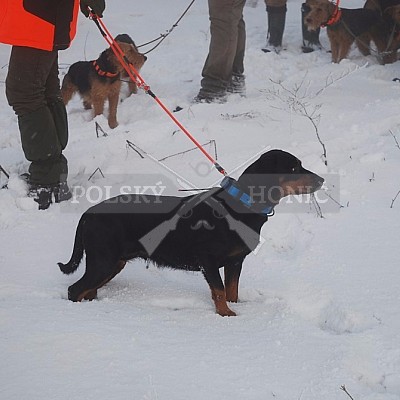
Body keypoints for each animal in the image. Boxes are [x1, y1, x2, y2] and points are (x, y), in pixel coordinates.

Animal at [57, 150, 324, 316]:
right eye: (294, 167)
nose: (322, 180)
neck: (242, 203)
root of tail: (89, 213)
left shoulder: (235, 262)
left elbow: (232, 290)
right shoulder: (208, 260)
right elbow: (219, 291)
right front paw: (226, 315)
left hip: (113, 262)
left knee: (88, 289)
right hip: (103, 261)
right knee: (74, 290)